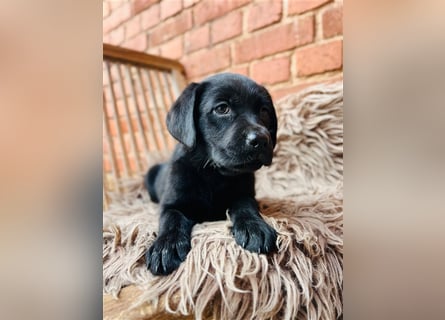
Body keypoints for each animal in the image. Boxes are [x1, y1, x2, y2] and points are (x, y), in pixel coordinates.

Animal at [146, 72, 276, 276]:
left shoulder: (245, 194)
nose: (262, 139)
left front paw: (254, 227)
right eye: (222, 108)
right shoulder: (171, 204)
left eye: (264, 111)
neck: (214, 174)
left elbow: (245, 206)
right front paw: (166, 247)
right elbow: (171, 219)